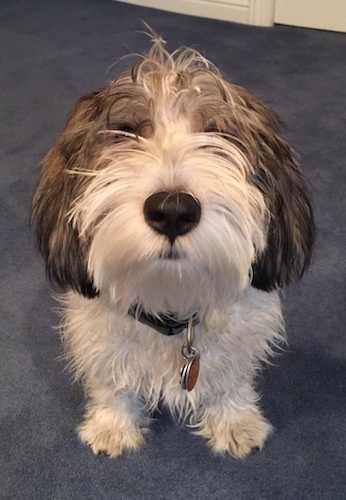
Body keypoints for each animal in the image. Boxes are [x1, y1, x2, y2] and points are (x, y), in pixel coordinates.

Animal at [31, 33, 314, 458]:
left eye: (219, 134)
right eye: (126, 131)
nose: (173, 210)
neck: (171, 299)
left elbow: (231, 379)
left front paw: (234, 421)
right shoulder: (98, 335)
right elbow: (111, 379)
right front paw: (113, 424)